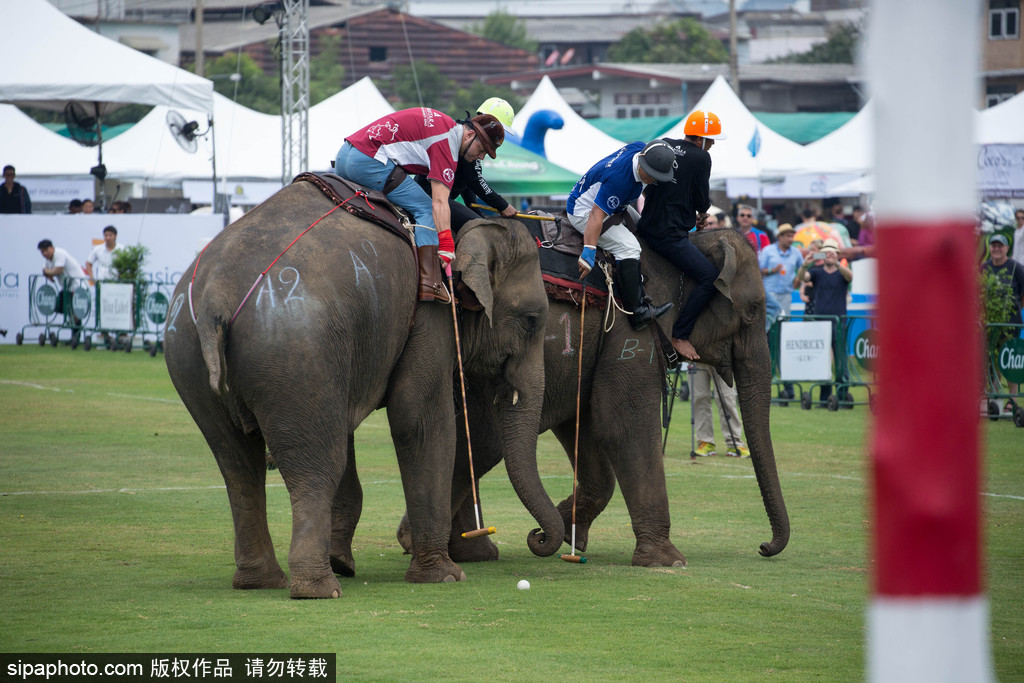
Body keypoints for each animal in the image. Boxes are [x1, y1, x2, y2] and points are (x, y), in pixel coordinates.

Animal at [161, 181, 561, 598]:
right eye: (532, 321)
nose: (536, 536)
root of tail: (215, 298)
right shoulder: (430, 310)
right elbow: (418, 419)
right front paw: (445, 576)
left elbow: (353, 428)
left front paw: (343, 560)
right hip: (296, 355)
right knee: (316, 462)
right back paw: (319, 588)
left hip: (191, 357)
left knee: (237, 461)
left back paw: (263, 582)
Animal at [401, 227, 790, 569]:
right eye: (753, 311)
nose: (763, 546)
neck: (685, 245)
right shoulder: (631, 331)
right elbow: (621, 424)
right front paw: (668, 561)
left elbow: (587, 427)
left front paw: (566, 533)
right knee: (482, 440)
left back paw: (466, 551)